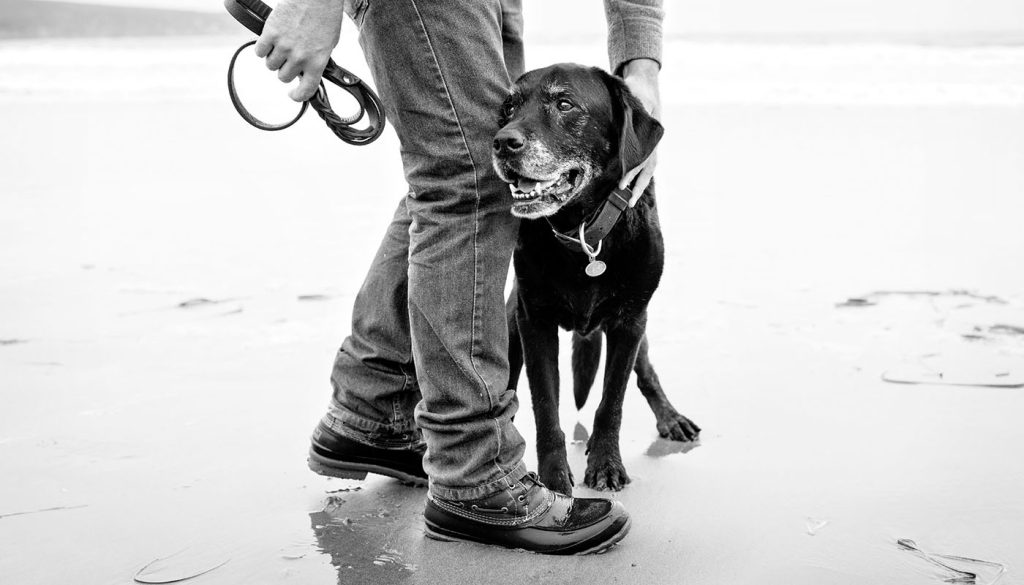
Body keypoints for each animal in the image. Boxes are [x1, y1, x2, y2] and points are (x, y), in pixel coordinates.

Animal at [491, 63, 700, 493]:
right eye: (509, 108)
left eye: (565, 104)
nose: (502, 143)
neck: (584, 233)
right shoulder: (533, 322)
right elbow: (545, 406)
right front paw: (554, 478)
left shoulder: (630, 322)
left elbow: (611, 402)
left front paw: (605, 464)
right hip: (512, 324)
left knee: (645, 370)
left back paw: (670, 417)